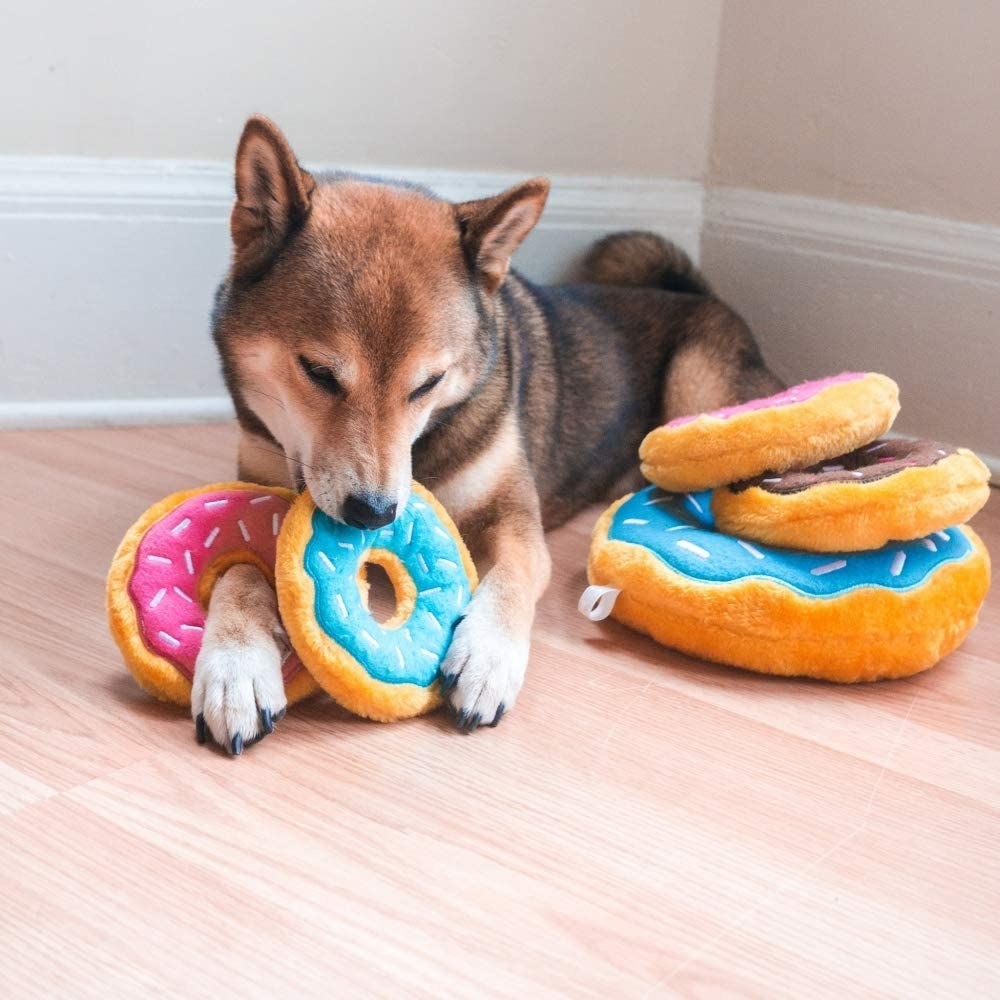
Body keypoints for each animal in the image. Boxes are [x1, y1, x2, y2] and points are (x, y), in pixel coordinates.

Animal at [195, 115, 784, 752]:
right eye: (319, 373)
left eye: (428, 383)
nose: (375, 514)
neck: (423, 451)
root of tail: (701, 293)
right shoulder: (261, 487)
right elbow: (239, 575)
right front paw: (234, 665)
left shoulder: (513, 519)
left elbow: (511, 580)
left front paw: (486, 658)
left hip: (694, 388)